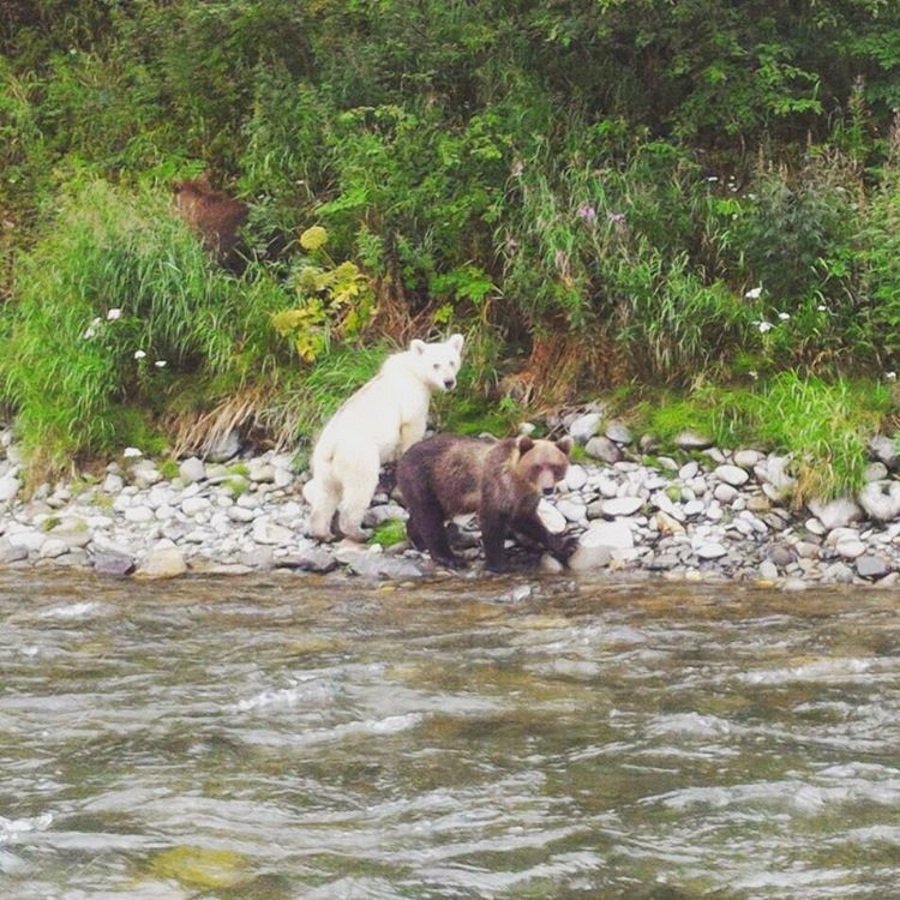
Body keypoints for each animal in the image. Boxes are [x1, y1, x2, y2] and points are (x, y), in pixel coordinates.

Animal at [398, 434, 572, 572]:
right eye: (537, 466)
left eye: (555, 466)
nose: (548, 488)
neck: (520, 482)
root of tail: (404, 455)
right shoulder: (496, 488)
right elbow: (492, 523)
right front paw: (499, 564)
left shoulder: (523, 500)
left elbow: (529, 522)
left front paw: (564, 544)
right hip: (424, 479)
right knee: (429, 516)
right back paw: (449, 558)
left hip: (446, 496)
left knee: (424, 515)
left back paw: (419, 541)